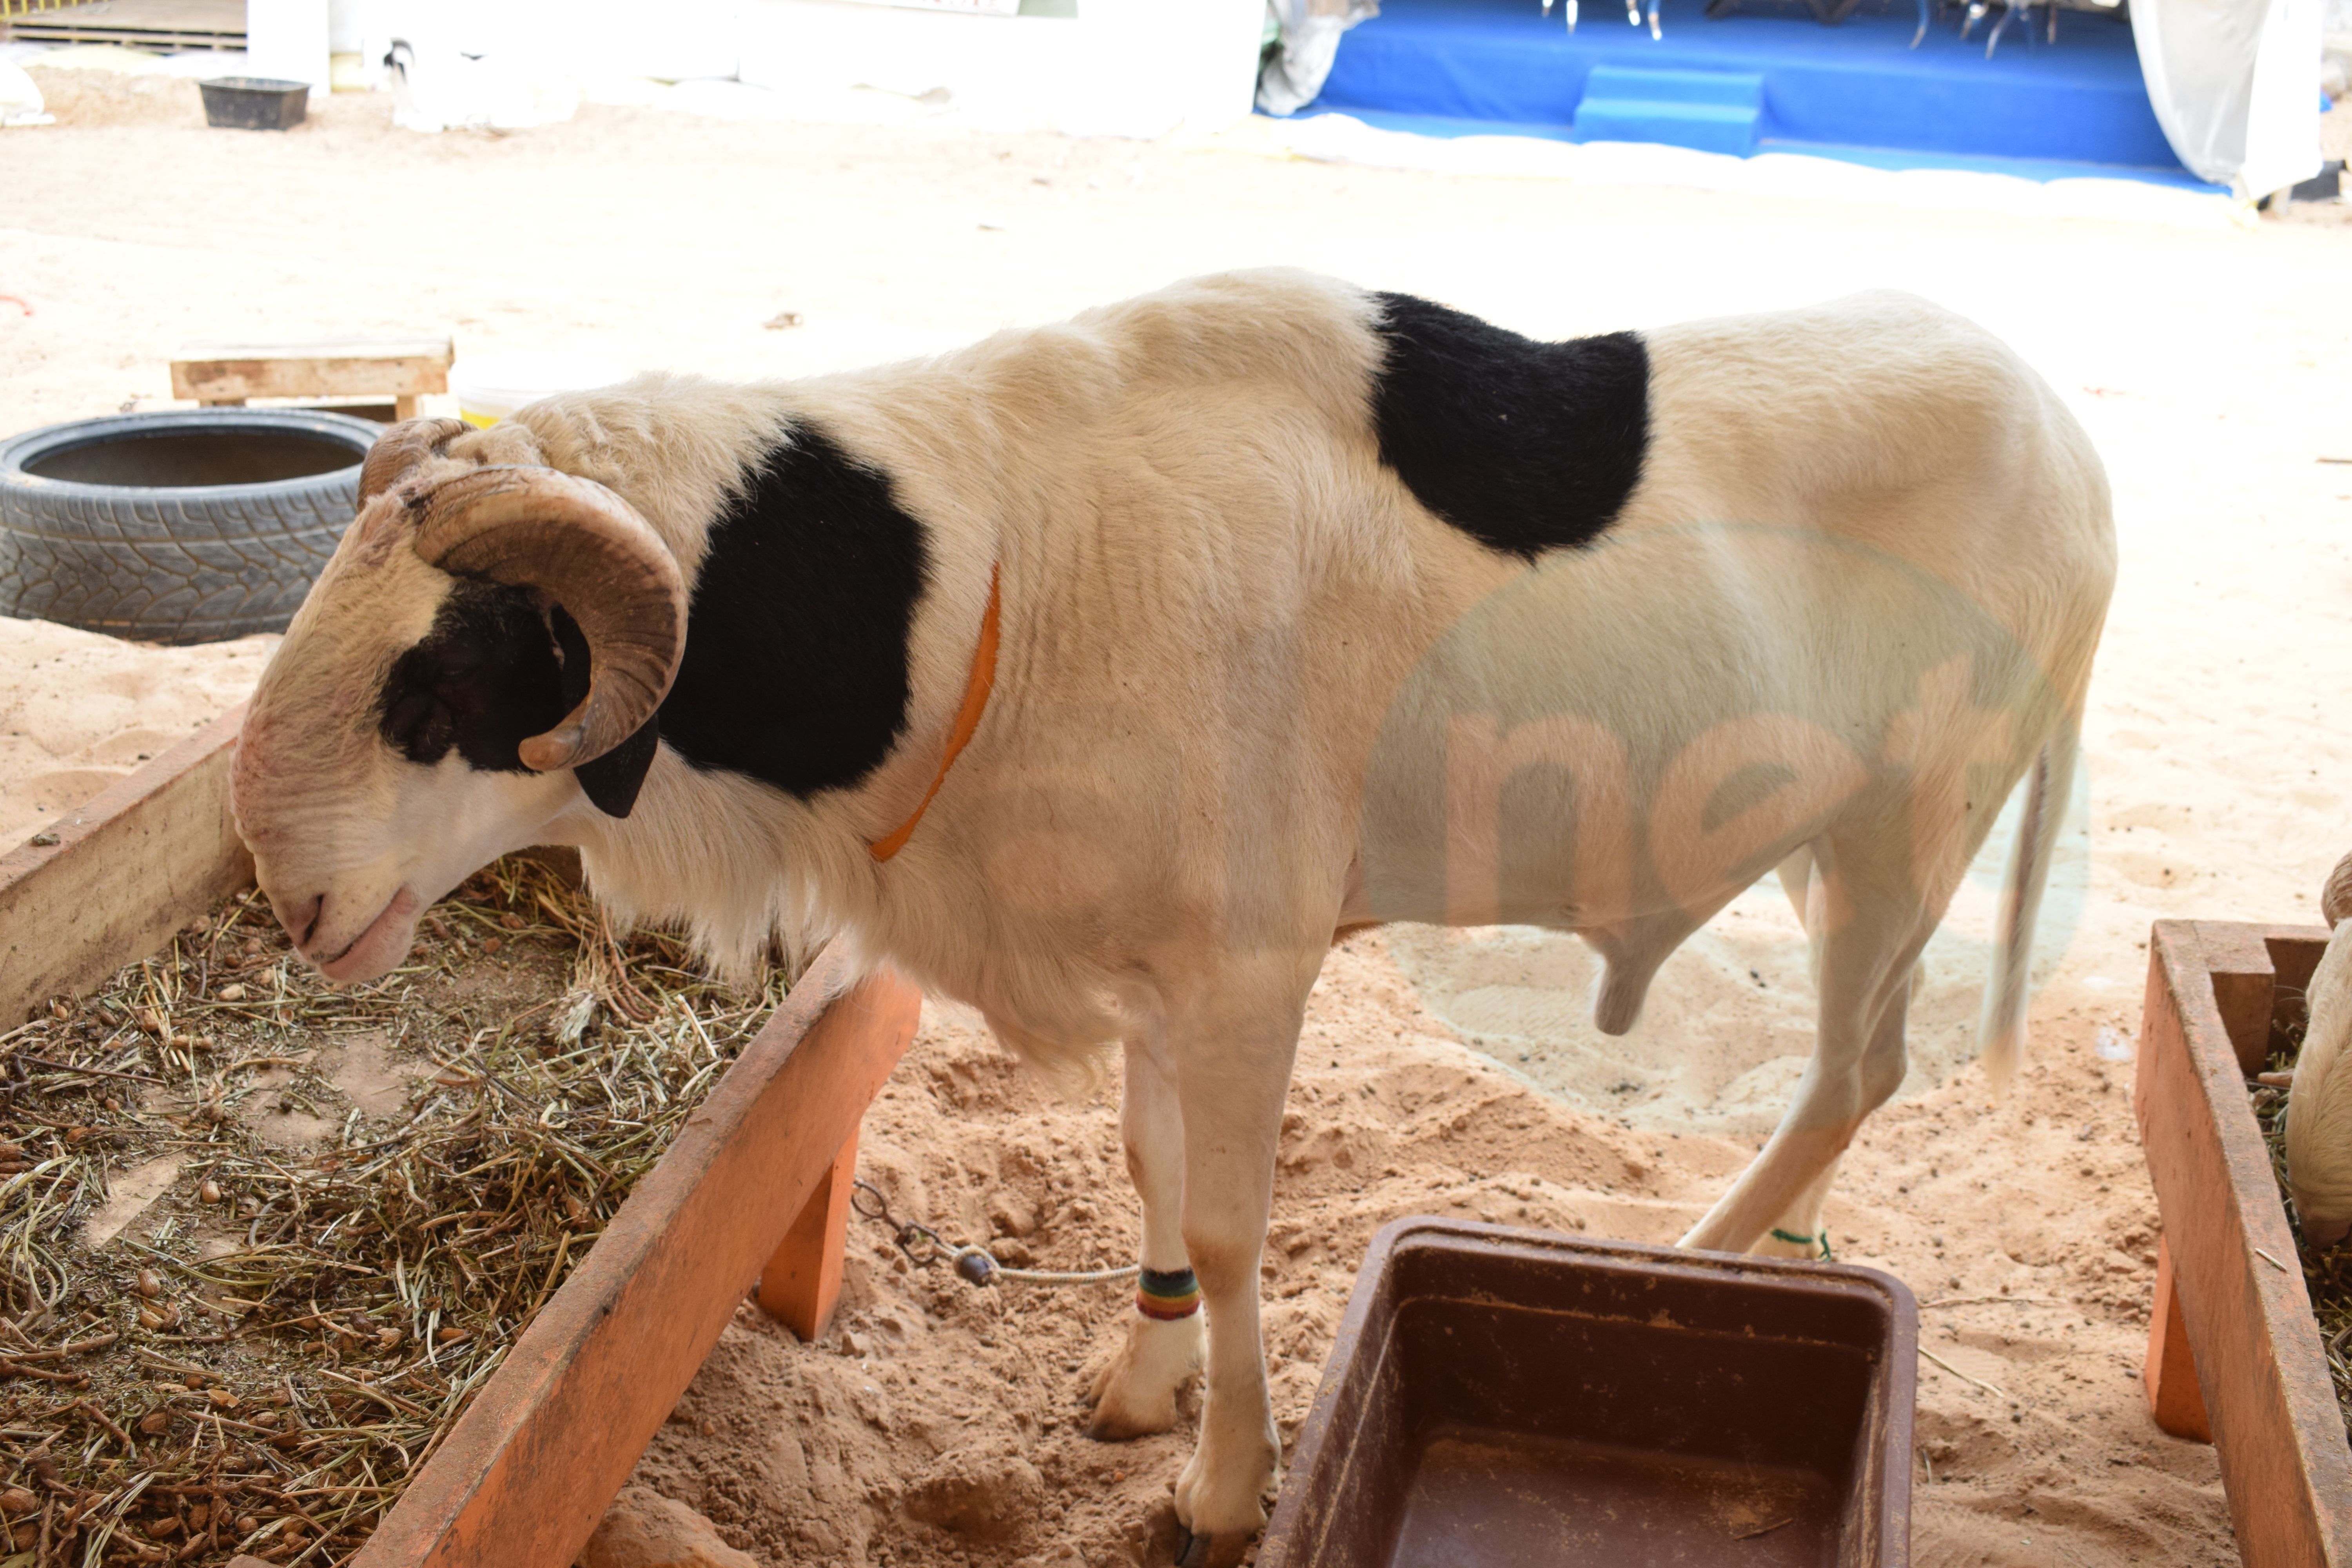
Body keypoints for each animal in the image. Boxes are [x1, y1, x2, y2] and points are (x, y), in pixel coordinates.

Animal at [229, 269, 2114, 1564]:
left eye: (445, 674)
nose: (291, 893)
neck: (985, 582)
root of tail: (2066, 431)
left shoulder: (1248, 966)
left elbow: (1221, 1221)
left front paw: (1220, 1479)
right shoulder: (1141, 960)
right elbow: (1147, 1168)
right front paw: (1137, 1388)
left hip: (1908, 828)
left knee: (1854, 1072)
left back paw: (1693, 1261)